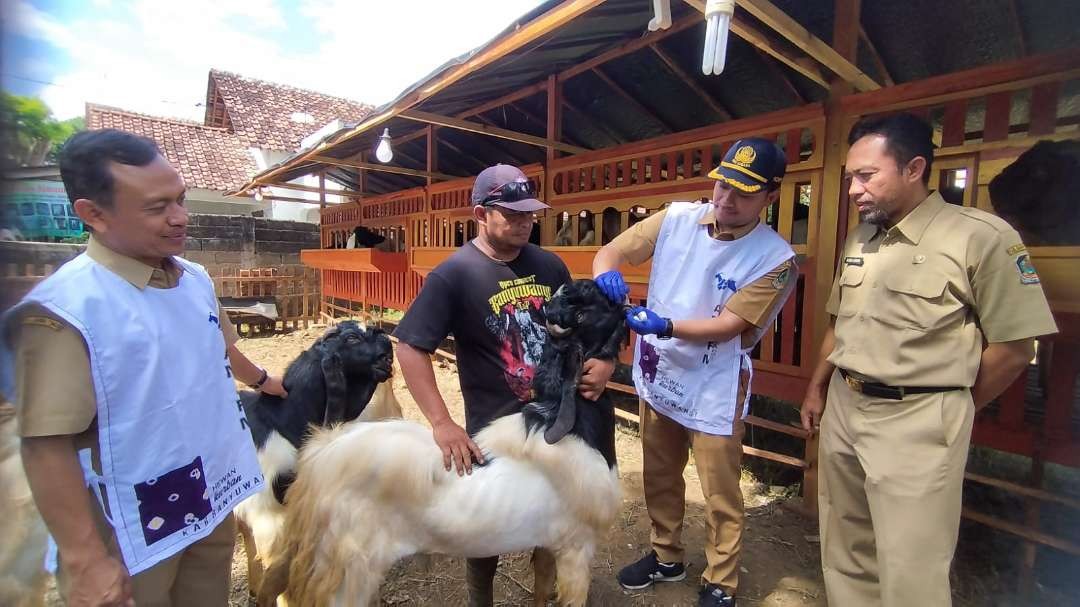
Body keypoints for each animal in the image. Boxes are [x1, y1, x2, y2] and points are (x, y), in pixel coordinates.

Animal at [254, 278, 626, 604]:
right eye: (586, 311)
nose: (621, 300)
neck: (573, 429)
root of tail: (318, 461)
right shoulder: (576, 547)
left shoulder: (549, 544)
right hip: (347, 571)